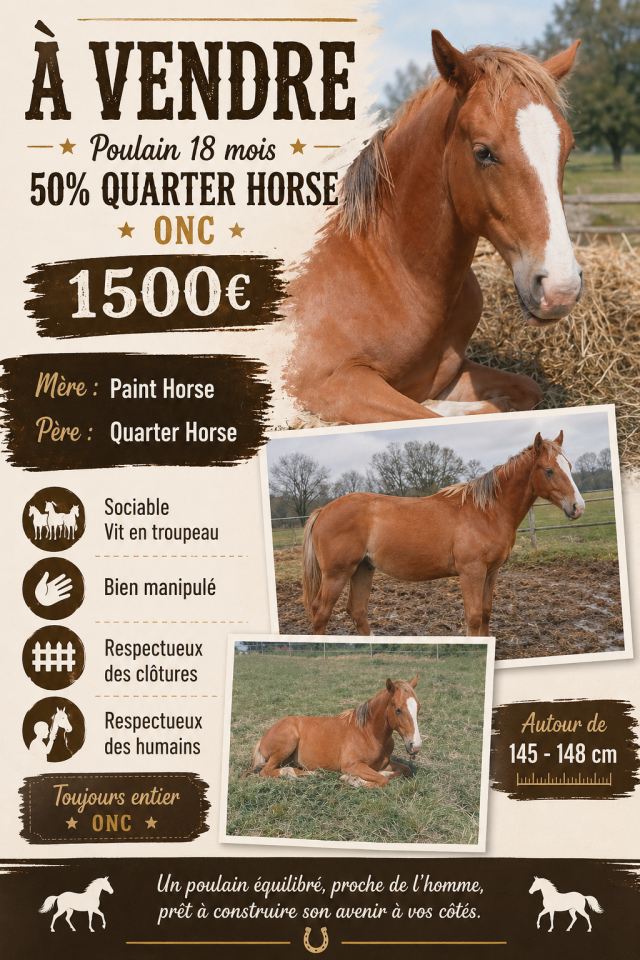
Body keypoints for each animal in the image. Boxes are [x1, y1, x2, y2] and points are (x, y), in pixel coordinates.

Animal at [246, 675, 422, 788]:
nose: (416, 746)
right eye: (398, 709)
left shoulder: (385, 763)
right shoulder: (352, 766)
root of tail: (262, 739)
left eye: (418, 708)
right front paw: (353, 780)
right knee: (266, 771)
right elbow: (382, 781)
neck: (368, 734)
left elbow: (405, 770)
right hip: (286, 745)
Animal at [285, 32, 583, 425]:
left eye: (568, 148)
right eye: (483, 152)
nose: (561, 288)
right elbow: (432, 416)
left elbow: (525, 389)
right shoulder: (332, 384)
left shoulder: (450, 374)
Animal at [302, 431, 584, 637]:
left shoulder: (491, 572)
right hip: (337, 573)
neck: (485, 512)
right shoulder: (471, 572)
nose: (578, 507)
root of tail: (323, 510)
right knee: (321, 612)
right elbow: (473, 617)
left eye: (569, 466)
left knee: (357, 611)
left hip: (362, 568)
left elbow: (486, 613)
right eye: (548, 470)